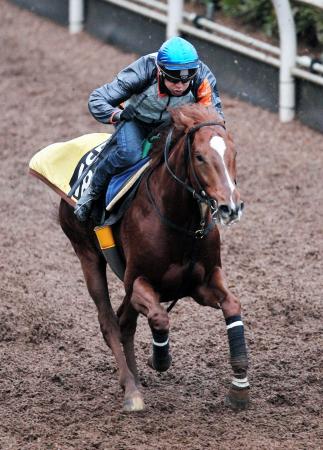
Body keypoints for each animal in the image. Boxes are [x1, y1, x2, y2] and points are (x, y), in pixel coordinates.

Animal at [58, 103, 251, 414]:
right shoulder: (139, 281)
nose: (230, 207)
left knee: (125, 322)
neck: (182, 224)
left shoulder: (202, 282)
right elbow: (159, 317)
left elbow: (232, 305)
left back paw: (133, 380)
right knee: (109, 322)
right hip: (86, 254)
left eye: (233, 153)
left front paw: (239, 388)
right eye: (199, 156)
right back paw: (132, 390)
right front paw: (159, 359)